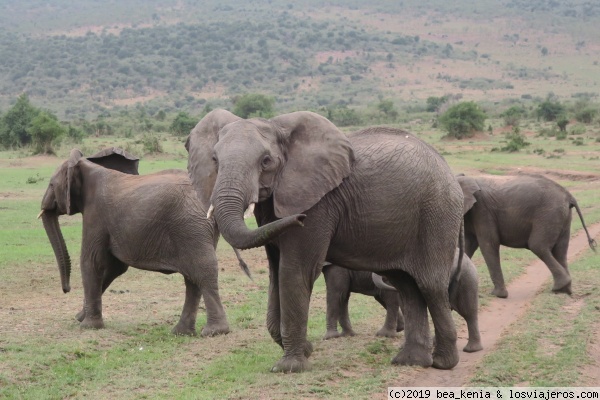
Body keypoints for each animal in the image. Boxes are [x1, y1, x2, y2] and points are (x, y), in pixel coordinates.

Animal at [40, 148, 248, 336]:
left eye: (50, 184)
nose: (66, 289)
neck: (86, 167)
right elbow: (115, 266)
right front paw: (80, 317)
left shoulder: (95, 215)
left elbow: (92, 261)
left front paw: (87, 326)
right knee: (192, 278)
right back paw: (181, 332)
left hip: (191, 227)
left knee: (203, 271)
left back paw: (214, 331)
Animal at [186, 109, 464, 372]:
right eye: (215, 160)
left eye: (266, 161)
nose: (299, 218)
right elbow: (276, 274)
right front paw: (305, 350)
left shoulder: (318, 203)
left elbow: (294, 272)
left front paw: (289, 367)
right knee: (407, 285)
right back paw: (410, 362)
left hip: (437, 214)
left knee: (430, 285)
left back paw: (442, 363)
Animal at [324, 250, 482, 354]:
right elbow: (342, 295)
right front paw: (346, 335)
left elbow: (336, 294)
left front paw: (330, 337)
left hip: (467, 280)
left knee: (468, 312)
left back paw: (470, 350)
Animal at [460, 173, 596, 298]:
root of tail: (569, 196)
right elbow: (468, 245)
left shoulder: (482, 211)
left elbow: (488, 244)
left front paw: (498, 295)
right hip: (563, 217)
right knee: (560, 251)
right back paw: (564, 290)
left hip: (549, 214)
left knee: (537, 246)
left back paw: (560, 286)